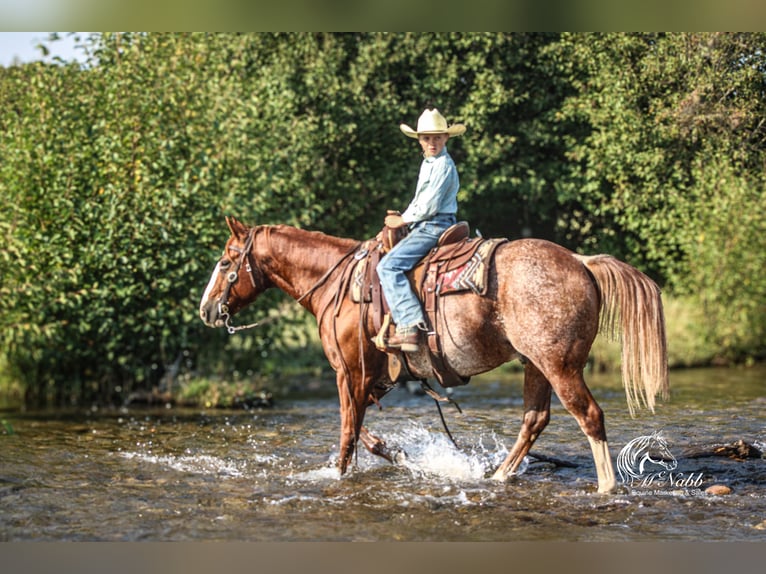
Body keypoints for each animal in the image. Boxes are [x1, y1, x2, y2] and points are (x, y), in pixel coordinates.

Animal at [199, 217, 669, 493]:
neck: (337, 286)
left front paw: (341, 474)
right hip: (534, 364)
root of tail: (581, 261)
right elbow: (362, 430)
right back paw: (498, 475)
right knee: (534, 419)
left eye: (224, 262)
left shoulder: (348, 372)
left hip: (560, 365)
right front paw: (395, 452)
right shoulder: (369, 379)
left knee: (589, 416)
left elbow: (348, 432)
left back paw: (606, 488)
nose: (206, 309)